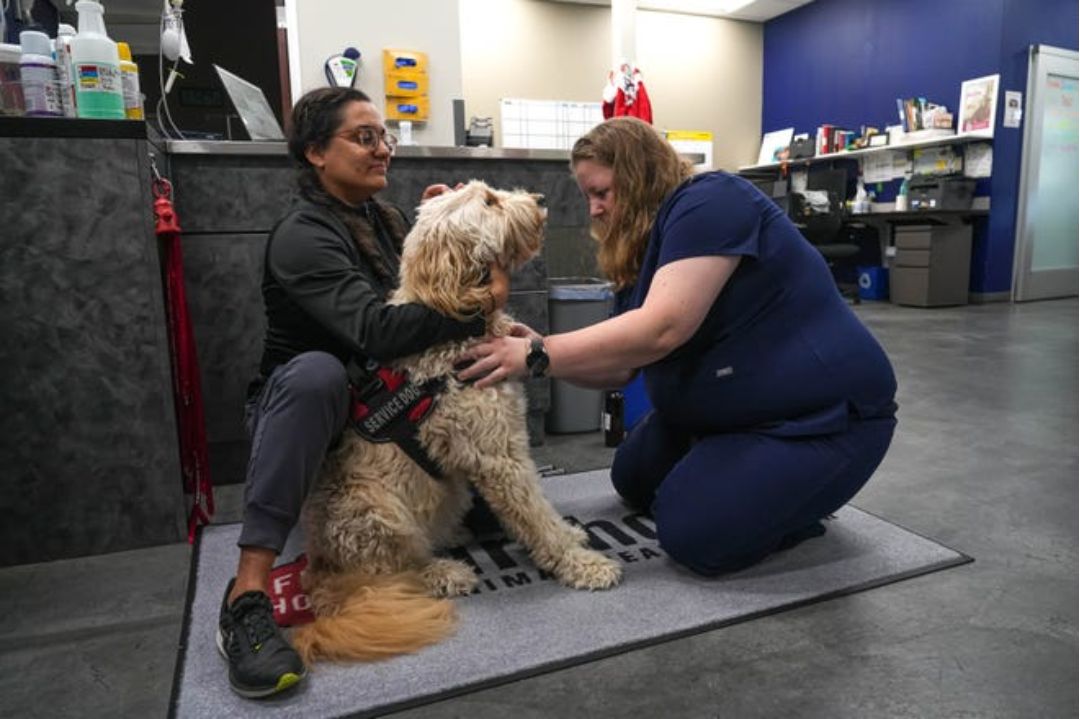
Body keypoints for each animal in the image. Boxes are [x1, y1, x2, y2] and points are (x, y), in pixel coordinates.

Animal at [291, 179, 626, 660]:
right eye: (489, 201)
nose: (540, 200)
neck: (453, 326)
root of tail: (319, 569)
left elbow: (542, 509)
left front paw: (570, 535)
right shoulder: (499, 457)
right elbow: (534, 514)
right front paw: (581, 564)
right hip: (377, 513)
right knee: (390, 574)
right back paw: (444, 572)